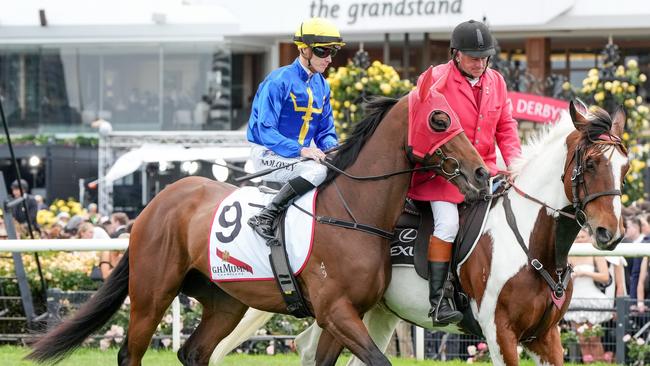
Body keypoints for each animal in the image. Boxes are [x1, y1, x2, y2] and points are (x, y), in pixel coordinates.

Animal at [27, 95, 488, 366]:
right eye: (440, 119)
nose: (481, 173)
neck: (353, 213)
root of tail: (159, 201)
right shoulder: (335, 310)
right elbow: (379, 361)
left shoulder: (346, 314)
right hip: (151, 293)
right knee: (130, 353)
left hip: (224, 301)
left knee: (194, 352)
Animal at [208, 101, 628, 366]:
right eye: (592, 164)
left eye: (625, 166)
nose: (610, 232)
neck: (532, 244)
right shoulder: (500, 333)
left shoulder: (546, 336)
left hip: (371, 312)